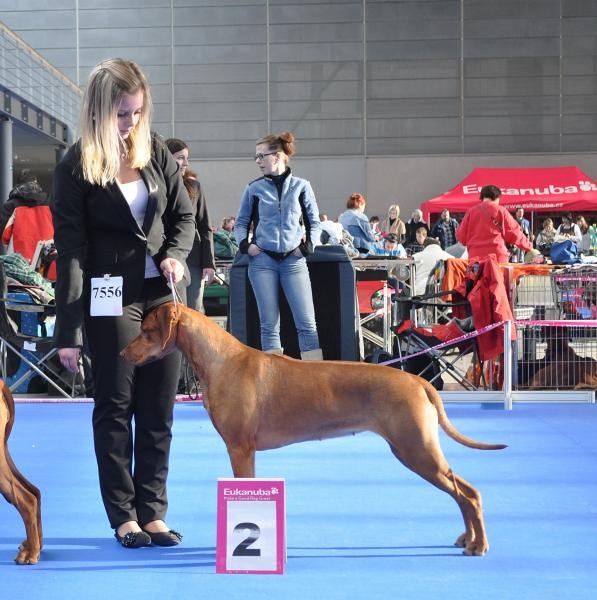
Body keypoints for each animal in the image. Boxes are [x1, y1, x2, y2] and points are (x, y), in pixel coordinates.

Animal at [122, 304, 508, 556]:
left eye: (146, 331)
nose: (124, 354)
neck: (221, 361)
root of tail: (418, 381)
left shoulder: (240, 448)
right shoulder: (245, 450)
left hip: (416, 449)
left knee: (468, 493)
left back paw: (479, 544)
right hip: (417, 449)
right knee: (463, 491)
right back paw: (467, 538)